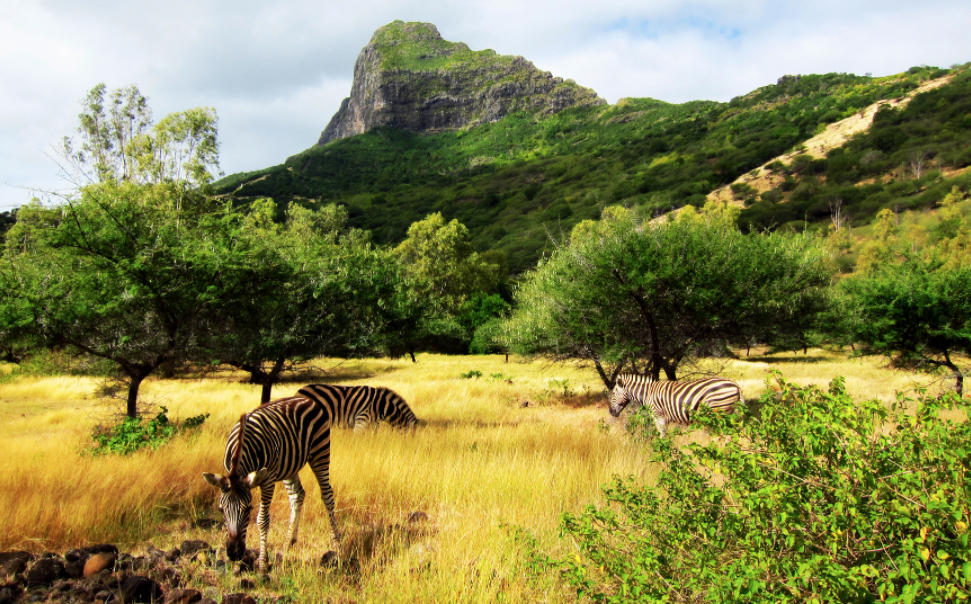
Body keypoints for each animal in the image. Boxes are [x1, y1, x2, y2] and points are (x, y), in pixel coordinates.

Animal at [203, 386, 416, 572]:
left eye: (248, 509)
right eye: (221, 510)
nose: (233, 553)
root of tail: (303, 397)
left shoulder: (267, 479)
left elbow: (262, 520)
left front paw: (262, 564)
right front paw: (243, 564)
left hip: (320, 452)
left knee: (327, 495)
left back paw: (337, 545)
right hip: (289, 464)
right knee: (298, 495)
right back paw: (289, 543)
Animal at [612, 372, 740, 434]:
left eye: (613, 393)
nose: (611, 412)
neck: (648, 393)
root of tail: (736, 385)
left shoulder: (658, 415)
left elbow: (662, 435)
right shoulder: (666, 418)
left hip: (718, 412)